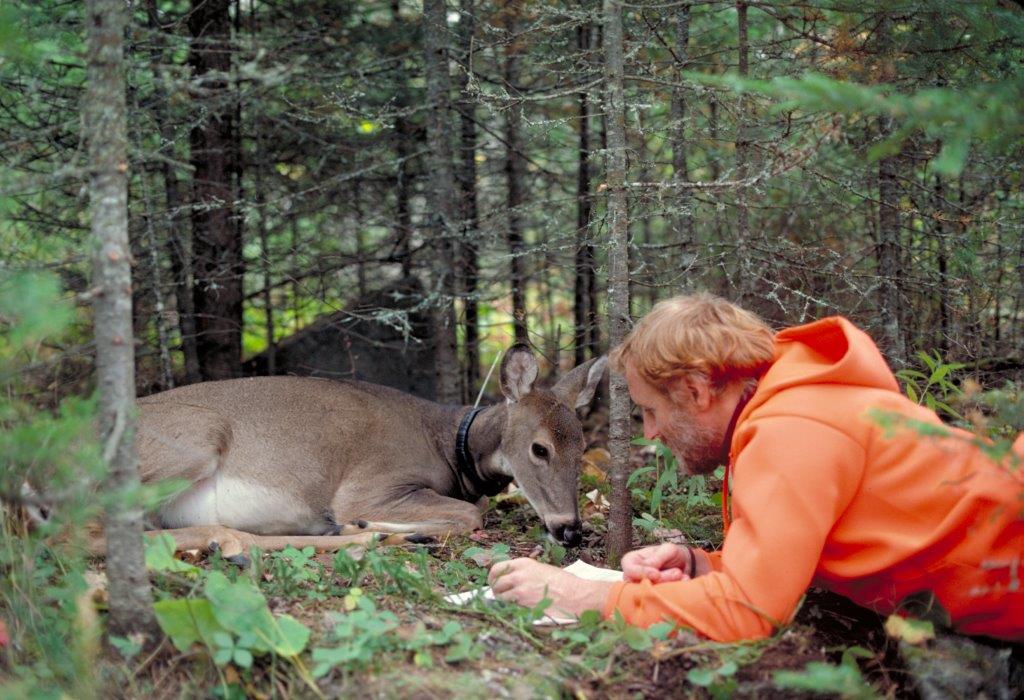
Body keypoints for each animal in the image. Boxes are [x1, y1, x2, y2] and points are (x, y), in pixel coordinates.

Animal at [88, 345, 606, 562]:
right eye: (539, 448)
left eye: (583, 447)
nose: (571, 529)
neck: (448, 445)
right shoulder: (371, 484)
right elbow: (470, 515)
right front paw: (371, 523)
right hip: (194, 437)